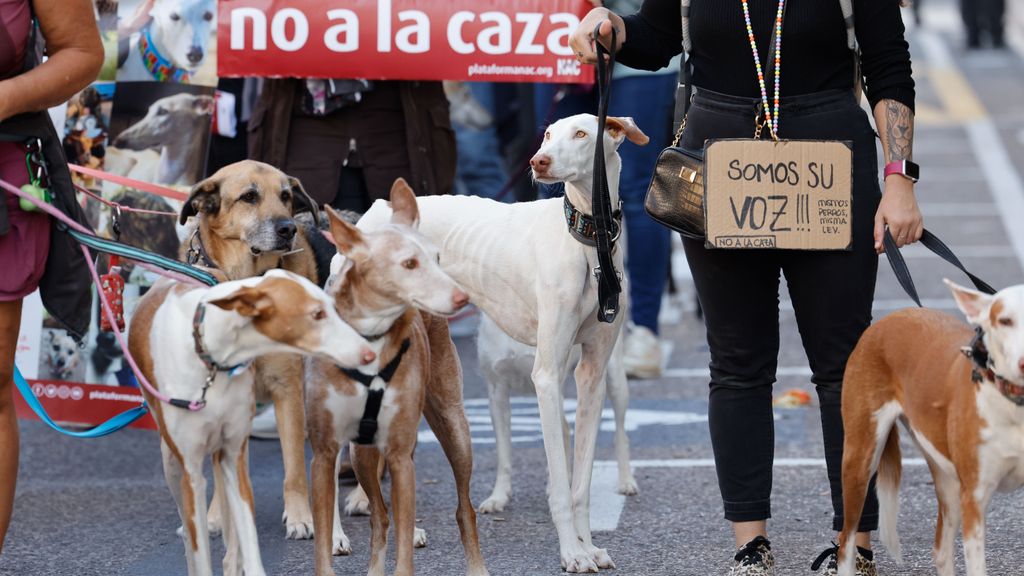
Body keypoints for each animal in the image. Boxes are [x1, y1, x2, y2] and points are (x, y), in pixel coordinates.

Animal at [128, 270, 376, 573]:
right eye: (316, 314)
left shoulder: (241, 446)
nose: (368, 353)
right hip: (172, 463)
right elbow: (202, 545)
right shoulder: (195, 471)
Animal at [360, 113, 643, 569]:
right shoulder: (545, 378)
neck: (586, 239)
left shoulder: (591, 376)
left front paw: (588, 547)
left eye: (582, 134)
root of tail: (374, 210)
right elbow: (560, 486)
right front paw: (571, 553)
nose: (538, 161)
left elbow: (579, 484)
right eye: (548, 134)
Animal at [839, 278, 1024, 573]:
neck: (1015, 404)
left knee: (941, 551)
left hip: (948, 479)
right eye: (1005, 320)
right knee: (846, 542)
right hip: (860, 459)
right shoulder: (974, 497)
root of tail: (889, 319)